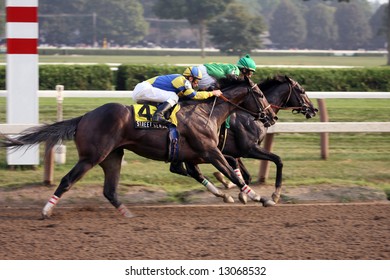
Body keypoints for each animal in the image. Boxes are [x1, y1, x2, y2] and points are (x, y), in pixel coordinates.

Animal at [0, 76, 276, 219]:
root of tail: (84, 117)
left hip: (112, 156)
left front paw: (238, 193)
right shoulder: (210, 151)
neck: (206, 111)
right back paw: (46, 210)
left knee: (109, 190)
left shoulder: (198, 153)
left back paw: (127, 213)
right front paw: (258, 197)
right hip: (91, 157)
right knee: (68, 180)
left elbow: (224, 171)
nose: (271, 117)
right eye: (261, 94)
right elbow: (232, 173)